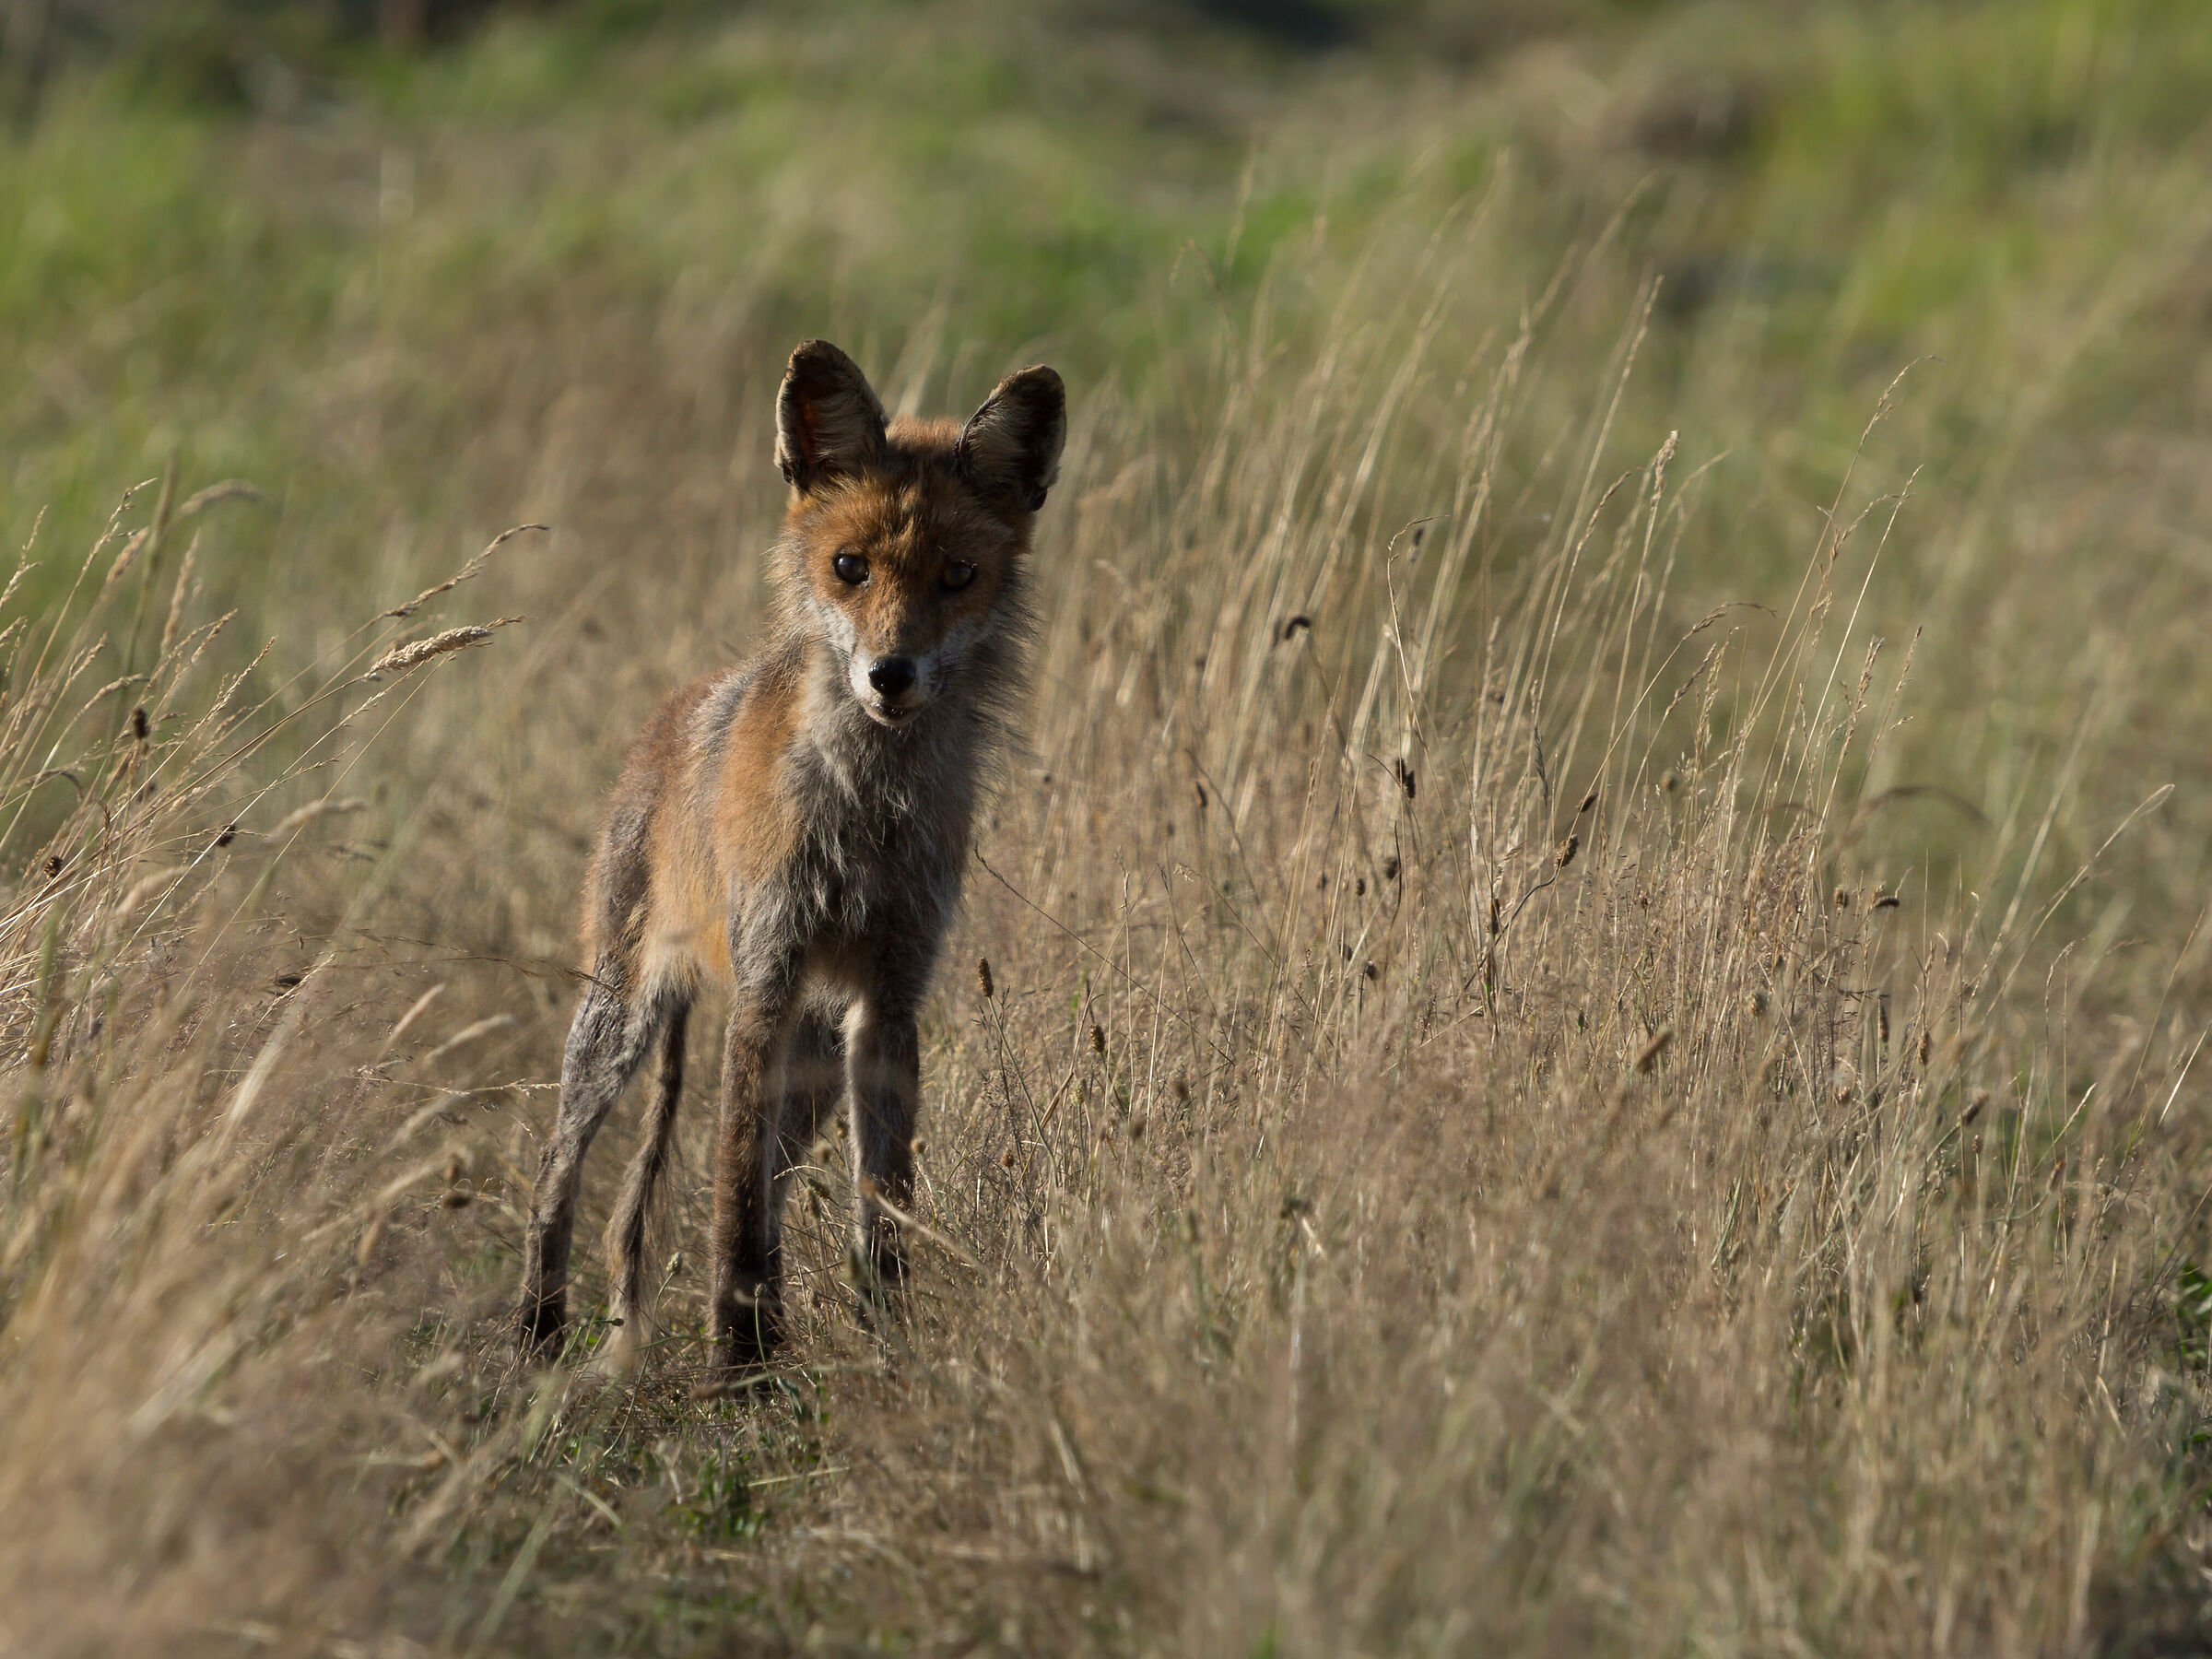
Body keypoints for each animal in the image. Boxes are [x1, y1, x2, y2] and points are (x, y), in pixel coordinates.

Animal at [515, 340, 1065, 1388]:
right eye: (849, 568)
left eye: (957, 575)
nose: (890, 674)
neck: (867, 820)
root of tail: (669, 717)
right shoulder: (766, 981)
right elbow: (731, 1200)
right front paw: (740, 1368)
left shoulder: (891, 997)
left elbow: (881, 1204)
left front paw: (886, 1339)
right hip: (623, 1019)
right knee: (560, 1171)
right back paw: (539, 1331)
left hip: (812, 1067)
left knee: (731, 1188)